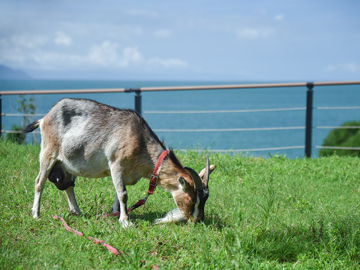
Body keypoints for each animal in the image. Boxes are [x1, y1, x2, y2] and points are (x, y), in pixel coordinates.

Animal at [26, 98, 217, 227]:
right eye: (192, 200)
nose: (198, 220)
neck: (140, 140)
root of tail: (45, 118)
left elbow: (119, 194)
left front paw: (116, 213)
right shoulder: (115, 163)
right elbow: (123, 194)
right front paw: (125, 222)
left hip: (67, 164)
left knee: (68, 185)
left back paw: (77, 211)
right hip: (49, 152)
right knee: (39, 182)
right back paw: (36, 214)